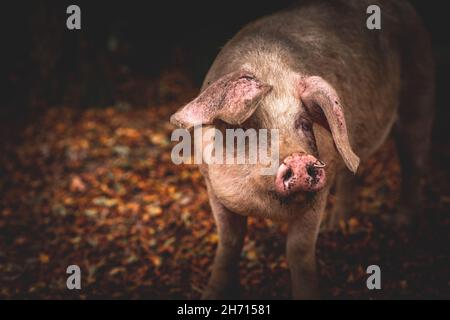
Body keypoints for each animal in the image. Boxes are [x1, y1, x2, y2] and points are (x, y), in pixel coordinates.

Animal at [170, 0, 436, 300]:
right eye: (250, 128)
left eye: (305, 124)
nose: (298, 157)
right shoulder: (212, 186)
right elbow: (229, 243)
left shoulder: (319, 192)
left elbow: (298, 251)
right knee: (352, 173)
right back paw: (337, 226)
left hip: (421, 95)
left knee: (414, 164)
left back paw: (399, 224)